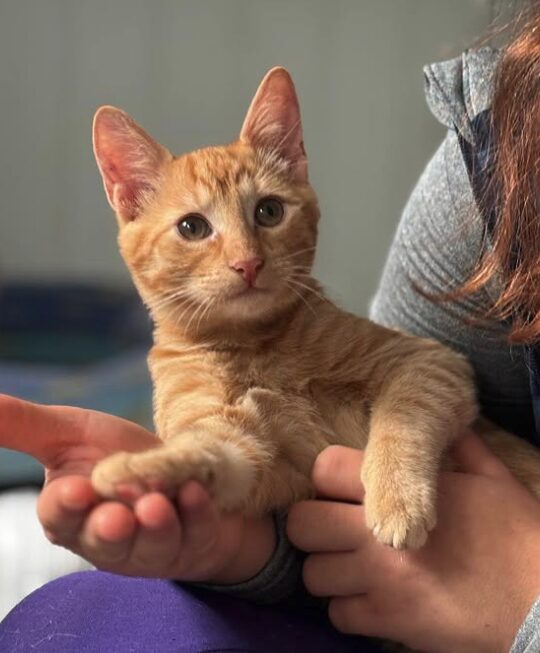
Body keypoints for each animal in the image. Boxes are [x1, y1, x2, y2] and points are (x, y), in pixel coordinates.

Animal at [90, 67, 540, 552]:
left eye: (269, 211)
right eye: (192, 227)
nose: (248, 263)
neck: (254, 346)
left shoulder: (429, 361)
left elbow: (403, 415)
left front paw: (397, 497)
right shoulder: (261, 458)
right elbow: (212, 452)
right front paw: (143, 472)